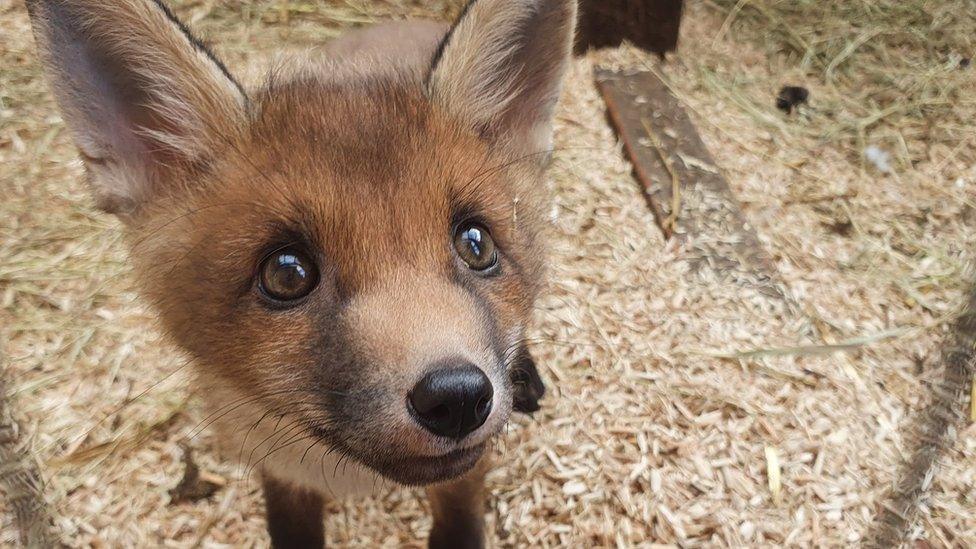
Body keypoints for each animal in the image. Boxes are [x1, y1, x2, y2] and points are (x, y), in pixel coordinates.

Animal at [26, 0, 576, 544]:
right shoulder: (279, 473)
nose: (457, 396)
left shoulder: (466, 474)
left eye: (476, 245)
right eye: (287, 274)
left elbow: (460, 524)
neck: (352, 473)